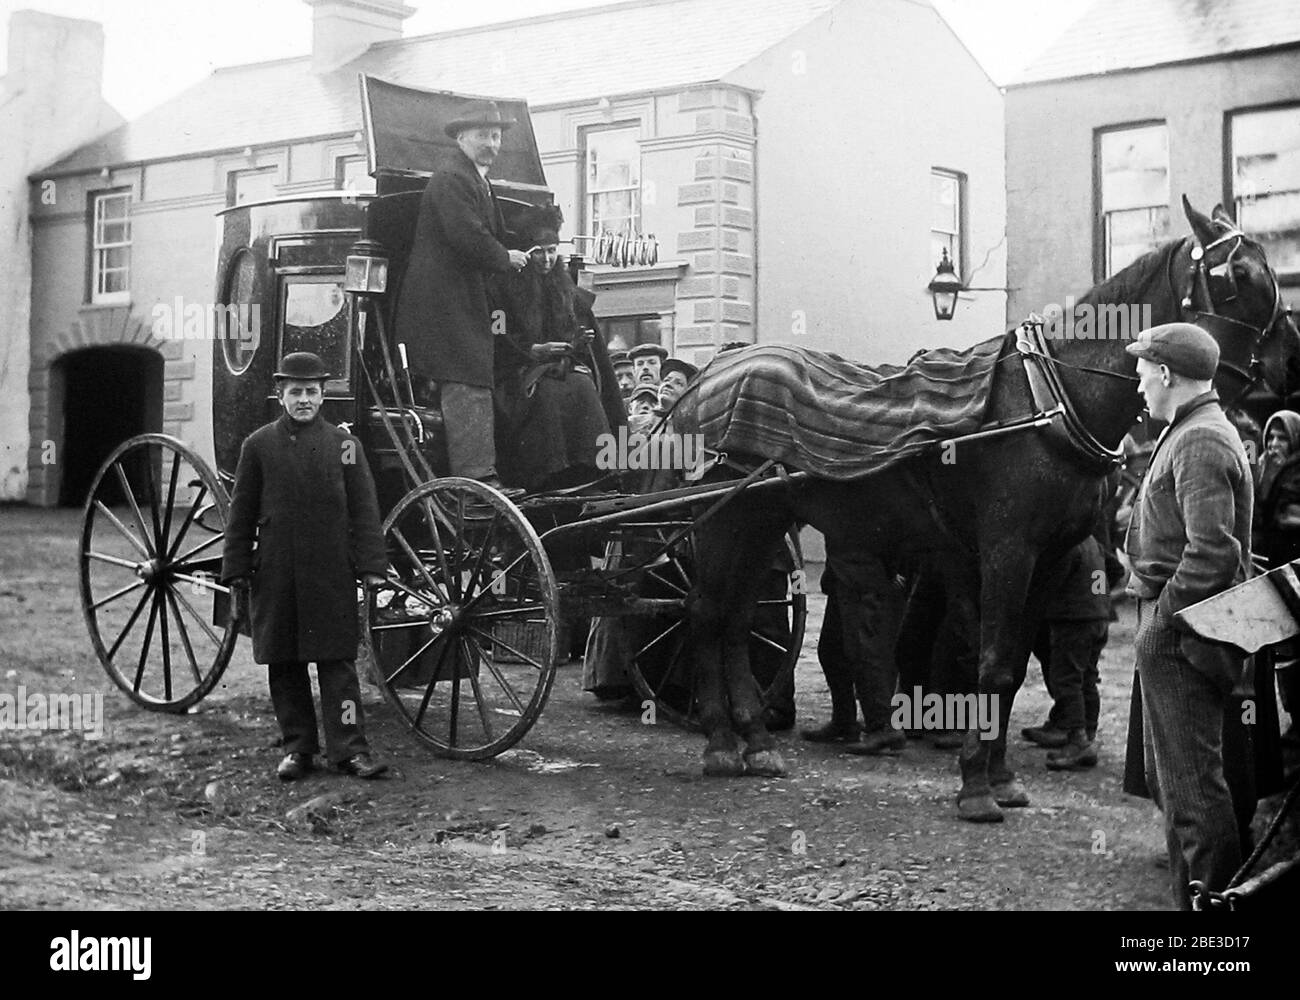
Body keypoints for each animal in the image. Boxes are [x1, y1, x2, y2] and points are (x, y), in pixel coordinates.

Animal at [676, 198, 1300, 821]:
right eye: (1240, 274)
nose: (1289, 363)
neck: (1049, 399)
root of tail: (715, 371)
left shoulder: (1050, 556)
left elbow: (1014, 665)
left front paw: (998, 774)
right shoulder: (1007, 548)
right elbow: (996, 662)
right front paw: (977, 783)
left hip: (762, 520)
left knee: (736, 618)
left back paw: (755, 739)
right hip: (725, 520)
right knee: (707, 613)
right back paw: (722, 741)